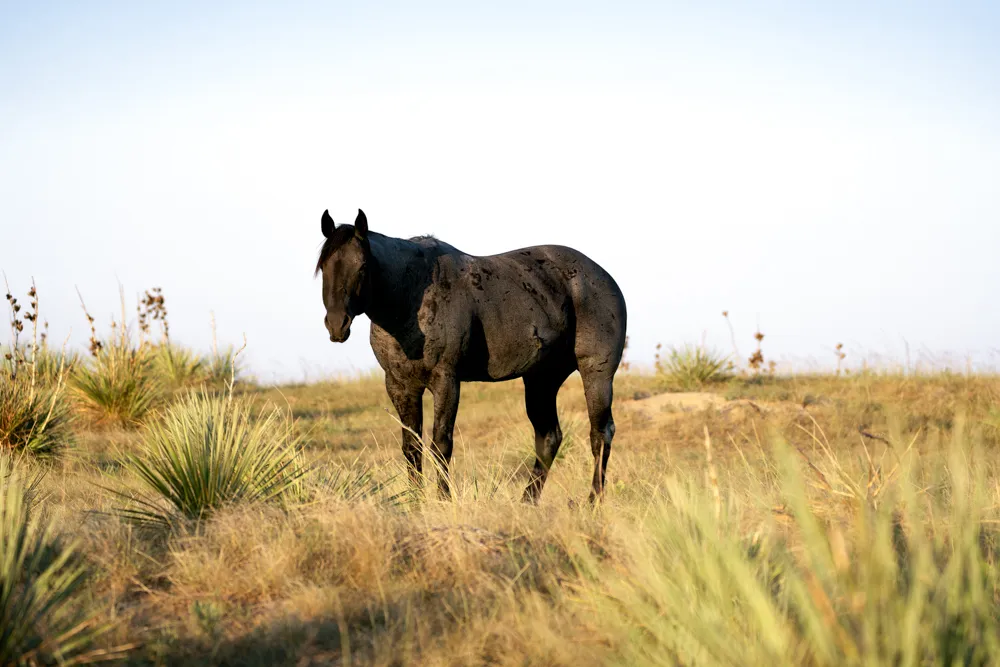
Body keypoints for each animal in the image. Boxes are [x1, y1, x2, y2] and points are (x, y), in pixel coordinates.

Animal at [314, 209, 624, 500]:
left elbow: (441, 444)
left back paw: (592, 501)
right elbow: (411, 447)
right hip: (541, 380)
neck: (411, 295)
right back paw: (527, 503)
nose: (337, 324)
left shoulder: (446, 381)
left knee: (600, 433)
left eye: (363, 266)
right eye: (324, 267)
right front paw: (415, 502)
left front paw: (443, 500)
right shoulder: (400, 385)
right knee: (549, 437)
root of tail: (603, 276)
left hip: (596, 374)